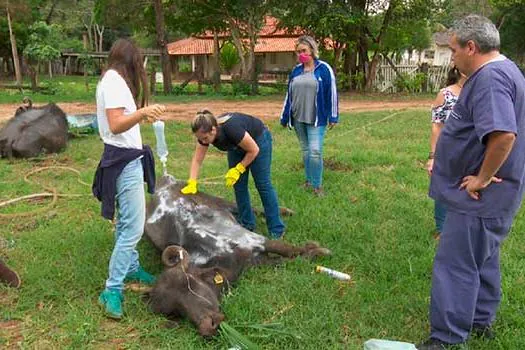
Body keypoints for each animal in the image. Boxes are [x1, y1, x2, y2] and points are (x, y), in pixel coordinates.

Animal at [143, 175, 330, 336]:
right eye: (175, 312)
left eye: (189, 284)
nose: (207, 326)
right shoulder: (255, 261)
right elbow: (286, 261)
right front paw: (312, 252)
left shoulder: (251, 239)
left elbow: (284, 247)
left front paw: (319, 249)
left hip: (219, 200)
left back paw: (286, 211)